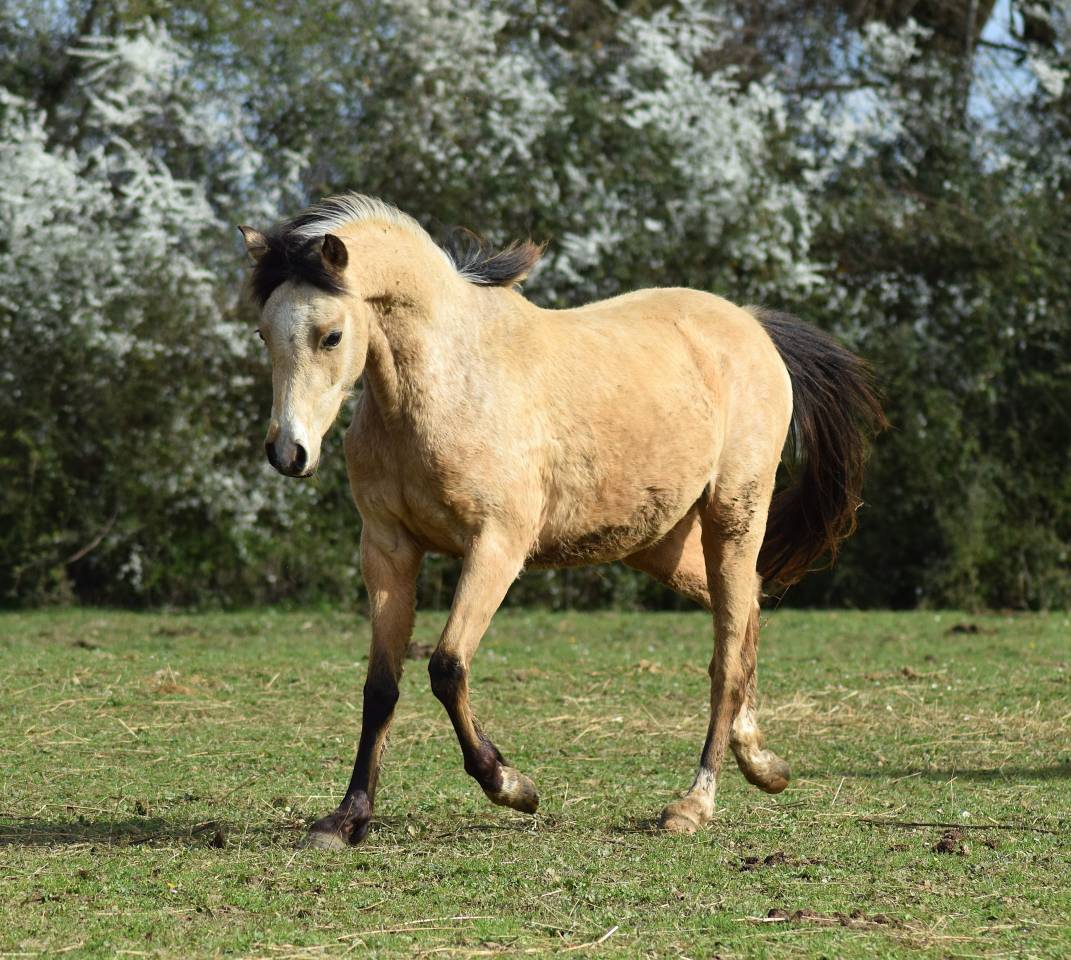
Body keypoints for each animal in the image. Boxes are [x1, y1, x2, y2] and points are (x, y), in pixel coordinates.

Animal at [239, 193, 886, 848]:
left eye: (331, 335)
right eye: (264, 332)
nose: (288, 453)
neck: (447, 385)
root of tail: (751, 326)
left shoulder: (496, 547)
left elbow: (447, 666)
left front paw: (510, 785)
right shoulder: (388, 551)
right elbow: (380, 688)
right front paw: (347, 819)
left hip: (733, 517)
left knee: (726, 655)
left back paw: (693, 803)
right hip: (661, 544)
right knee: (748, 604)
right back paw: (760, 761)